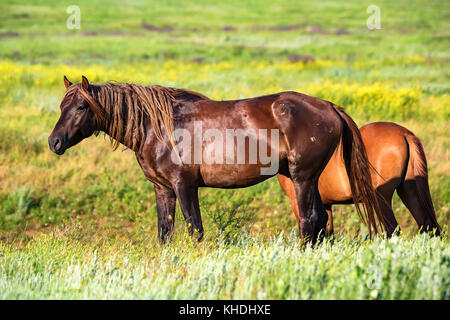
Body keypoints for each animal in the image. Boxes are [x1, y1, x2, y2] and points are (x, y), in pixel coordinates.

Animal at [48, 76, 386, 242]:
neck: (158, 127)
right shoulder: (163, 190)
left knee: (309, 220)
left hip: (302, 178)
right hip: (306, 179)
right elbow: (164, 233)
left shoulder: (184, 186)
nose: (54, 142)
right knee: (319, 222)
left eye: (81, 107)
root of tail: (328, 105)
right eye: (62, 106)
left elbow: (194, 230)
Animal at [278, 121, 440, 236]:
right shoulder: (326, 204)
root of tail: (404, 134)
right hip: (408, 191)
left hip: (381, 198)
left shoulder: (298, 203)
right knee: (427, 225)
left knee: (393, 229)